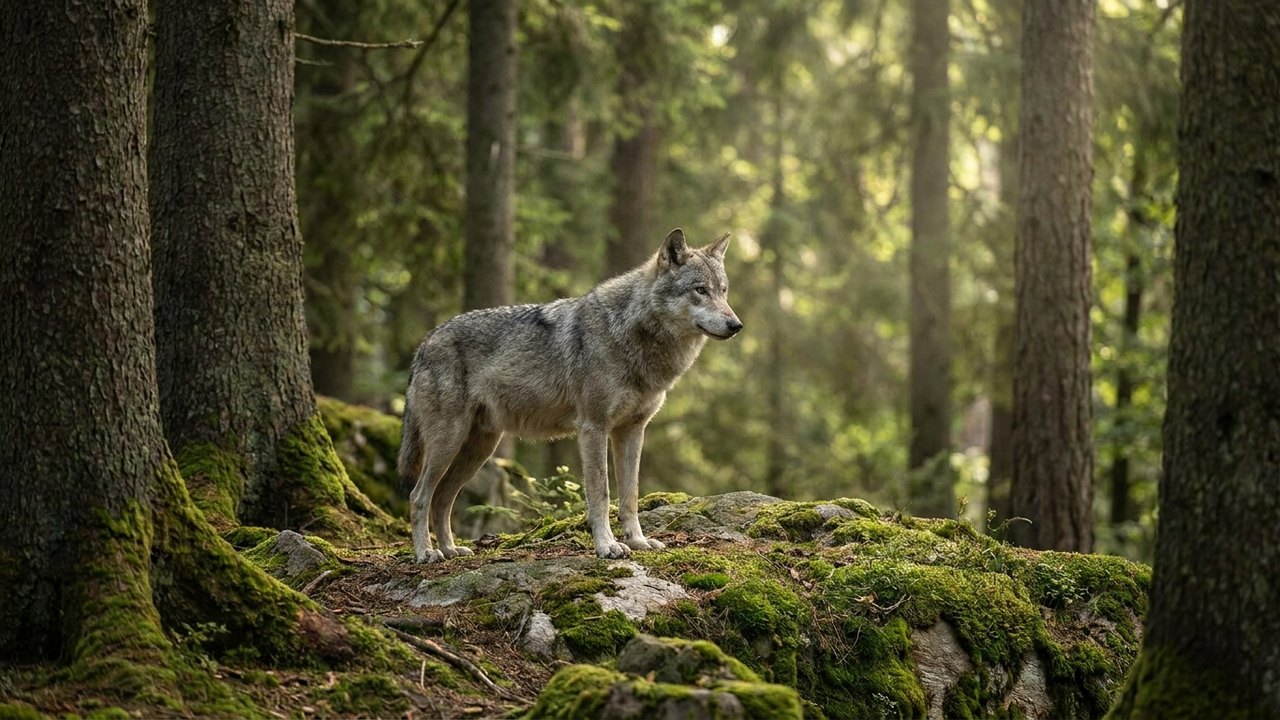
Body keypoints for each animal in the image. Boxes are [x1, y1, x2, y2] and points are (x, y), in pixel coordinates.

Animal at [397, 228, 742, 563]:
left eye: (723, 291)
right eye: (700, 290)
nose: (736, 325)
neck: (630, 334)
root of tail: (424, 343)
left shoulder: (631, 431)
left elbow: (630, 496)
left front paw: (638, 542)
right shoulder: (593, 428)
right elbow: (601, 493)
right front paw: (608, 547)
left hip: (479, 449)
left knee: (442, 498)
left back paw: (450, 550)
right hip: (449, 442)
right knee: (419, 496)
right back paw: (425, 553)